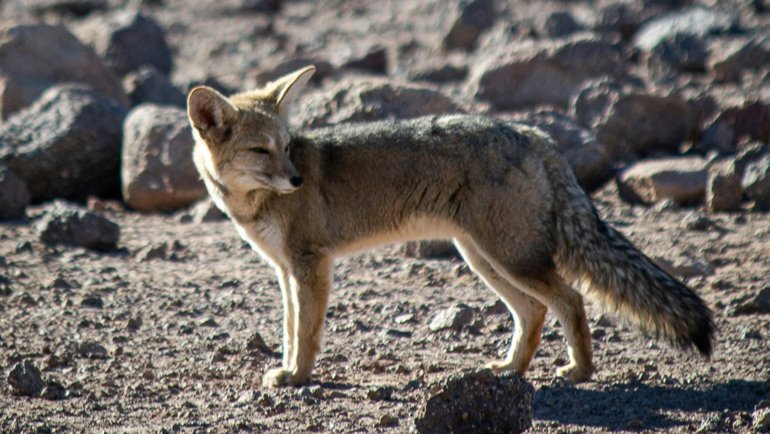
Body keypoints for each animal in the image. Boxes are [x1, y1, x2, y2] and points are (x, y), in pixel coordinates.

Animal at [186, 64, 712, 386]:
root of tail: (535, 134)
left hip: (509, 258)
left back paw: (579, 371)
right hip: (483, 258)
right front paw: (287, 371)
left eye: (286, 146)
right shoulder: (285, 271)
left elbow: (306, 332)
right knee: (534, 311)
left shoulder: (311, 265)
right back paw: (511, 368)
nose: (296, 179)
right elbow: (290, 327)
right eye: (261, 151)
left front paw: (297, 377)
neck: (253, 205)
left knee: (570, 299)